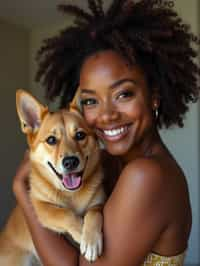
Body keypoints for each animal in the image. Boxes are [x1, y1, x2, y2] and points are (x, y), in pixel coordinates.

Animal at [0, 90, 106, 264]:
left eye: (80, 135)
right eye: (51, 140)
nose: (70, 162)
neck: (71, 194)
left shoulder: (99, 202)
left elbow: (94, 213)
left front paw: (90, 239)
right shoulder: (40, 207)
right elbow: (64, 214)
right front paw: (80, 231)